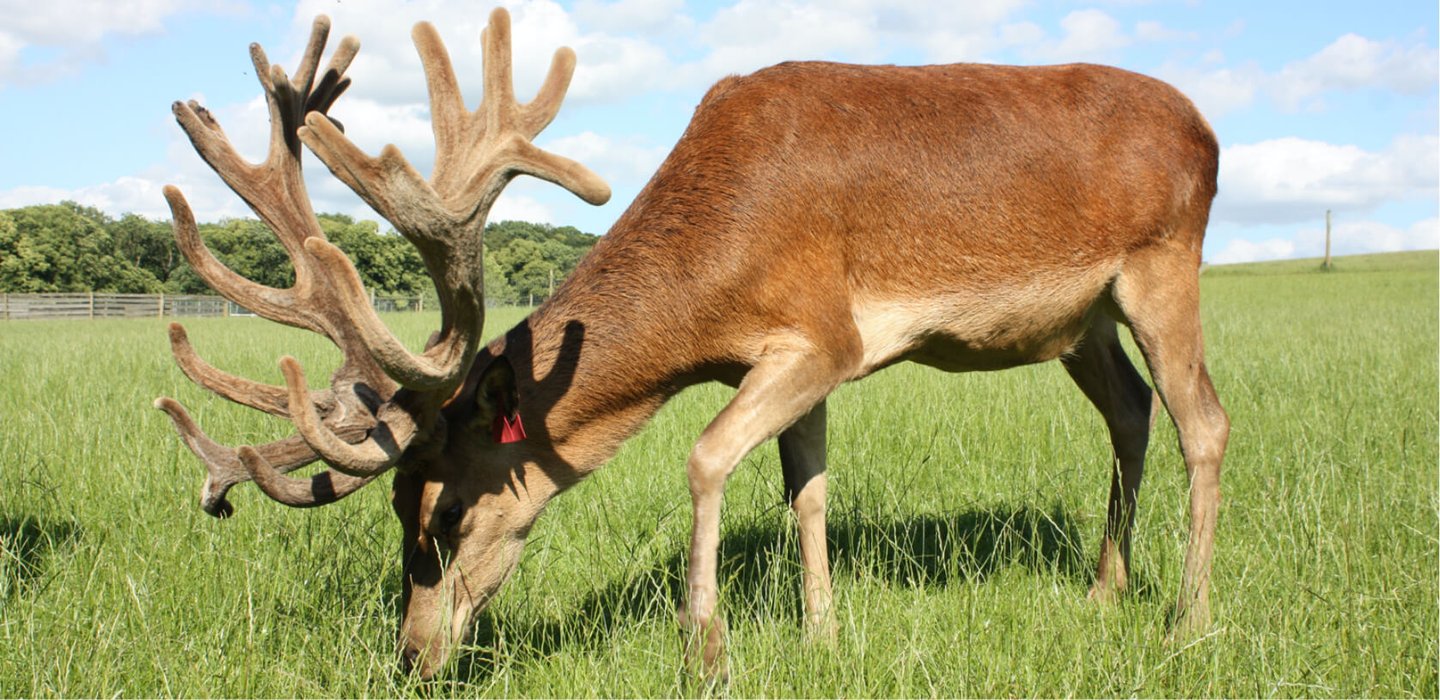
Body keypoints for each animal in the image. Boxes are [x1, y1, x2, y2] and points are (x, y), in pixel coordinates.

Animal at [154, 7, 1229, 681]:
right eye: (396, 515)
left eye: (449, 515)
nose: (411, 658)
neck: (715, 272)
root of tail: (1208, 131)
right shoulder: (797, 360)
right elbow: (807, 489)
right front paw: (822, 641)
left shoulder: (824, 336)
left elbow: (706, 456)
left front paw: (704, 648)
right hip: (1082, 322)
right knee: (1132, 412)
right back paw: (1102, 594)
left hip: (1163, 261)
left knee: (1204, 423)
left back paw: (1187, 619)